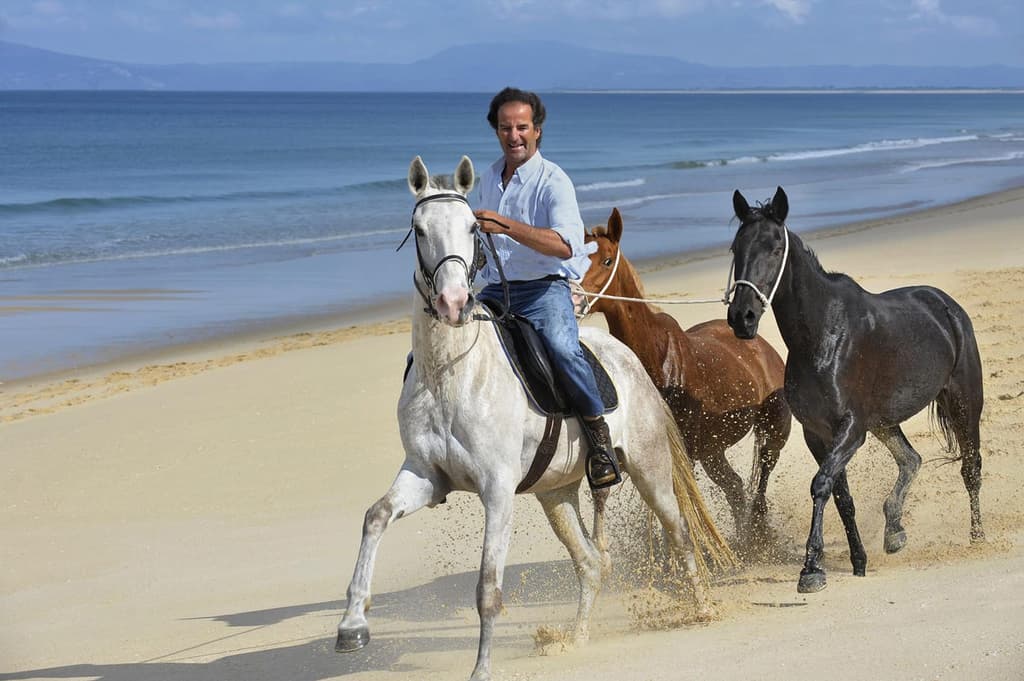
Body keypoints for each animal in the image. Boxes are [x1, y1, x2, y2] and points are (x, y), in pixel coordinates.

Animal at [335, 156, 734, 681]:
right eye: (420, 230)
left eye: (472, 228)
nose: (453, 303)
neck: (451, 373)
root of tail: (627, 357)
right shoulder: (426, 476)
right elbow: (375, 516)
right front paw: (352, 626)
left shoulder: (498, 490)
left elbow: (488, 588)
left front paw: (481, 670)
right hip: (556, 494)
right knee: (591, 564)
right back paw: (576, 639)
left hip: (650, 472)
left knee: (680, 535)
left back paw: (704, 611)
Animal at [579, 208, 792, 548]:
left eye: (607, 260)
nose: (574, 295)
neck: (656, 363)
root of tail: (762, 347)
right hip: (713, 451)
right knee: (735, 488)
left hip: (773, 432)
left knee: (761, 481)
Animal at [727, 186, 985, 593]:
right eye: (736, 248)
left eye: (774, 248)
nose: (742, 318)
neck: (821, 337)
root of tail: (945, 305)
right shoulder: (818, 433)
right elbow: (840, 495)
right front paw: (858, 561)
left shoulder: (850, 429)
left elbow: (820, 485)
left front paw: (811, 569)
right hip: (883, 422)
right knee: (911, 459)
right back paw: (894, 531)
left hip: (963, 402)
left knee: (971, 467)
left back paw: (977, 536)